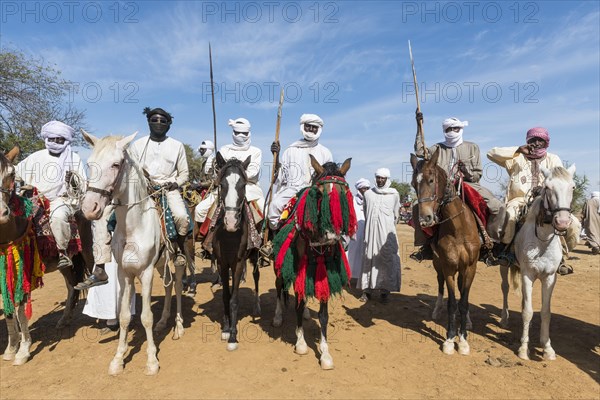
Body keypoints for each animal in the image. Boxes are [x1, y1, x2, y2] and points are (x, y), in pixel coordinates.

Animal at [80, 132, 185, 376]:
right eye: (89, 164)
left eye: (116, 164)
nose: (89, 208)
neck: (134, 227)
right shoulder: (124, 273)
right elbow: (125, 316)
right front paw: (118, 359)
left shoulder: (145, 273)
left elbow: (146, 317)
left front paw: (152, 361)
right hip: (161, 263)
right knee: (168, 286)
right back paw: (164, 321)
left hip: (177, 261)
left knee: (177, 284)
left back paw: (178, 325)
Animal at [410, 148, 480, 354]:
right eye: (413, 184)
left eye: (431, 180)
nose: (425, 219)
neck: (458, 228)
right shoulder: (448, 266)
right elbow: (451, 302)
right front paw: (450, 339)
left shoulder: (470, 267)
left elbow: (463, 301)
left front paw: (463, 339)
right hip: (437, 263)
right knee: (440, 284)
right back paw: (436, 310)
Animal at [496, 164, 576, 360]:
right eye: (547, 187)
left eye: (572, 187)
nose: (562, 222)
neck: (542, 241)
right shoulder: (528, 275)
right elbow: (527, 311)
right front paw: (523, 349)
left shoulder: (549, 277)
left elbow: (545, 312)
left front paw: (547, 348)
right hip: (504, 266)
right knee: (505, 288)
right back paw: (504, 318)